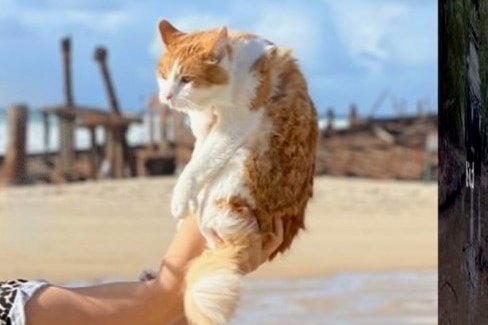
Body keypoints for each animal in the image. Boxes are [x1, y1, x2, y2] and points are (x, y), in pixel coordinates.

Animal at [154, 19, 318, 324]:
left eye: (186, 79)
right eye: (163, 75)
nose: (167, 96)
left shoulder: (235, 123)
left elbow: (198, 164)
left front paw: (181, 200)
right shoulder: (204, 128)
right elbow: (198, 157)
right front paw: (187, 200)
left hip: (238, 171)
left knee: (211, 226)